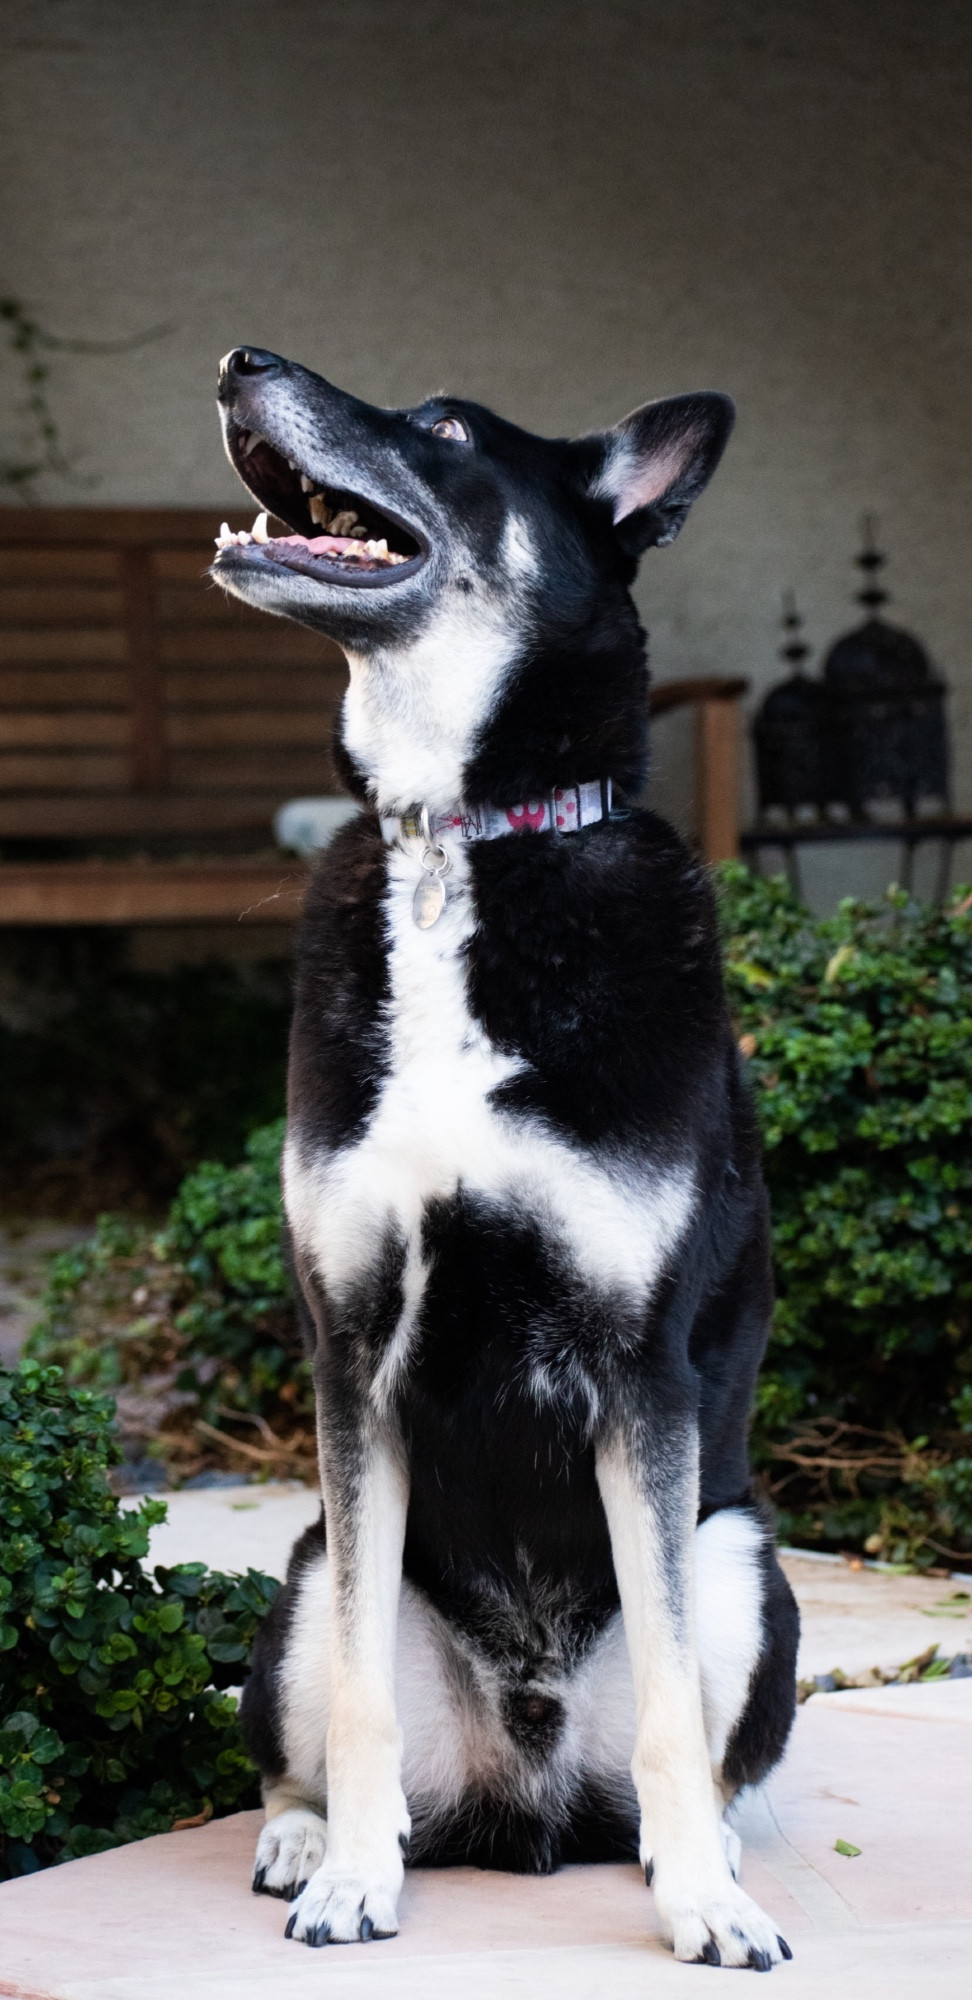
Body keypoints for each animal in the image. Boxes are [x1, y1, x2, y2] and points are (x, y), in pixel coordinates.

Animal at [213, 348, 796, 1968]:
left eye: (450, 429)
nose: (240, 362)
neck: (461, 841)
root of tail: (522, 1794)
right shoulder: (354, 1355)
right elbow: (355, 1706)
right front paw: (356, 1873)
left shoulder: (640, 1372)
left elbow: (670, 1715)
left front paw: (704, 1903)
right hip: (303, 1570)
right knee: (308, 1733)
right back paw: (306, 1837)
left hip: (742, 1557)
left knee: (695, 1753)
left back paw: (712, 1854)